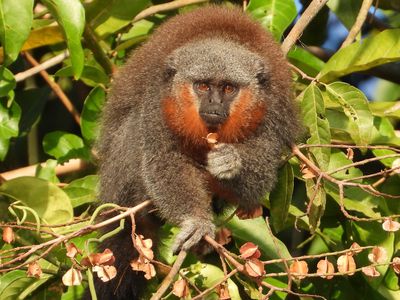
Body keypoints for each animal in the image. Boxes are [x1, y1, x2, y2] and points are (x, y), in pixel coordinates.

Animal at [94, 4, 296, 300]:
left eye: (228, 88)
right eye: (202, 86)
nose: (213, 103)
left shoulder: (270, 107)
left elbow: (257, 185)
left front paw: (230, 162)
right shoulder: (160, 100)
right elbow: (164, 160)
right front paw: (196, 222)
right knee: (133, 130)